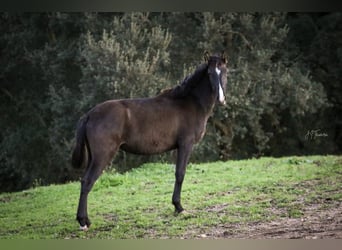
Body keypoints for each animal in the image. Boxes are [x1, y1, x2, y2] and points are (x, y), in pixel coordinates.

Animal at [71, 52, 227, 230]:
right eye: (209, 73)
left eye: (224, 72)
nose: (221, 99)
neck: (191, 102)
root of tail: (89, 114)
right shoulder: (185, 145)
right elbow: (180, 173)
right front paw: (178, 207)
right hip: (102, 156)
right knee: (88, 182)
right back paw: (83, 222)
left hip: (93, 157)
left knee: (84, 181)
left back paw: (85, 220)